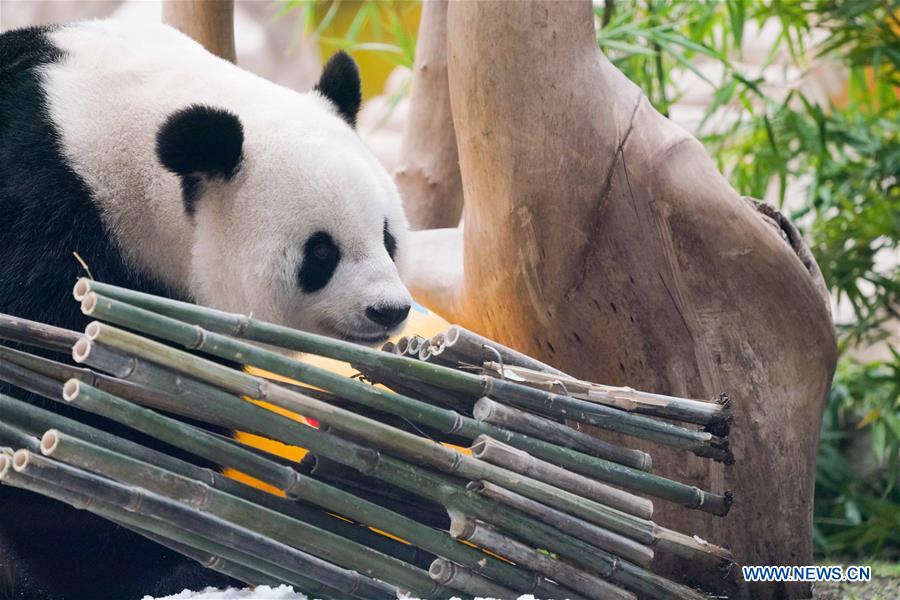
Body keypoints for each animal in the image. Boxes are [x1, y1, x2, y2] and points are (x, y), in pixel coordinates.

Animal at [0, 19, 412, 600]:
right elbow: (53, 401)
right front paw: (153, 565)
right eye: (320, 253)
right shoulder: (39, 217)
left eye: (388, 237)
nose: (389, 311)